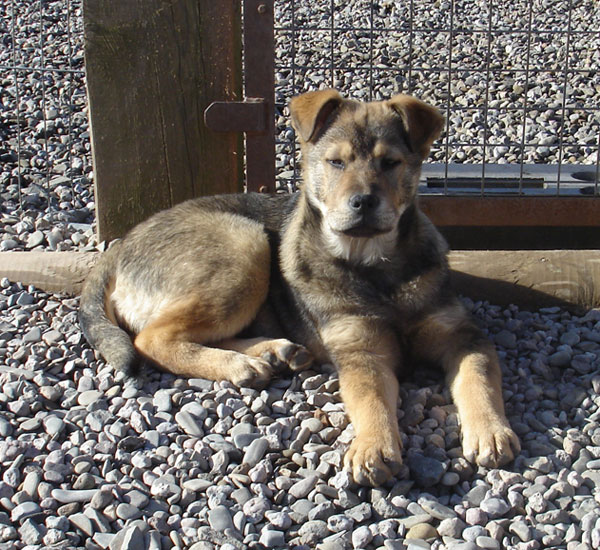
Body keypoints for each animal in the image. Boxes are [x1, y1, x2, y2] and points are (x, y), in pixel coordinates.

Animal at [81, 89, 520, 488]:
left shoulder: (461, 334)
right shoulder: (361, 348)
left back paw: (272, 352)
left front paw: (490, 432)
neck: (375, 267)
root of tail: (119, 247)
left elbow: (478, 378)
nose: (363, 202)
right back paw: (239, 364)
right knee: (152, 339)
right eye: (336, 162)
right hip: (245, 246)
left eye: (390, 163)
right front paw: (373, 446)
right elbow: (370, 398)